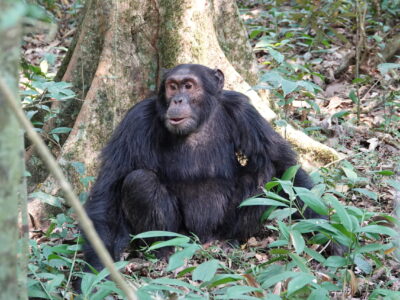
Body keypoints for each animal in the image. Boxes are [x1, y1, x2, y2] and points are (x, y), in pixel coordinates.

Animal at [83, 62, 322, 270]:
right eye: (172, 86)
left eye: (188, 86)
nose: (178, 100)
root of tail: (203, 240)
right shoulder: (136, 121)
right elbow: (108, 191)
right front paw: (98, 270)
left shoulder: (244, 112)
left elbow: (281, 164)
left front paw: (325, 232)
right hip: (182, 235)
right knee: (139, 180)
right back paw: (163, 250)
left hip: (219, 229)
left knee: (263, 174)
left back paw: (231, 241)